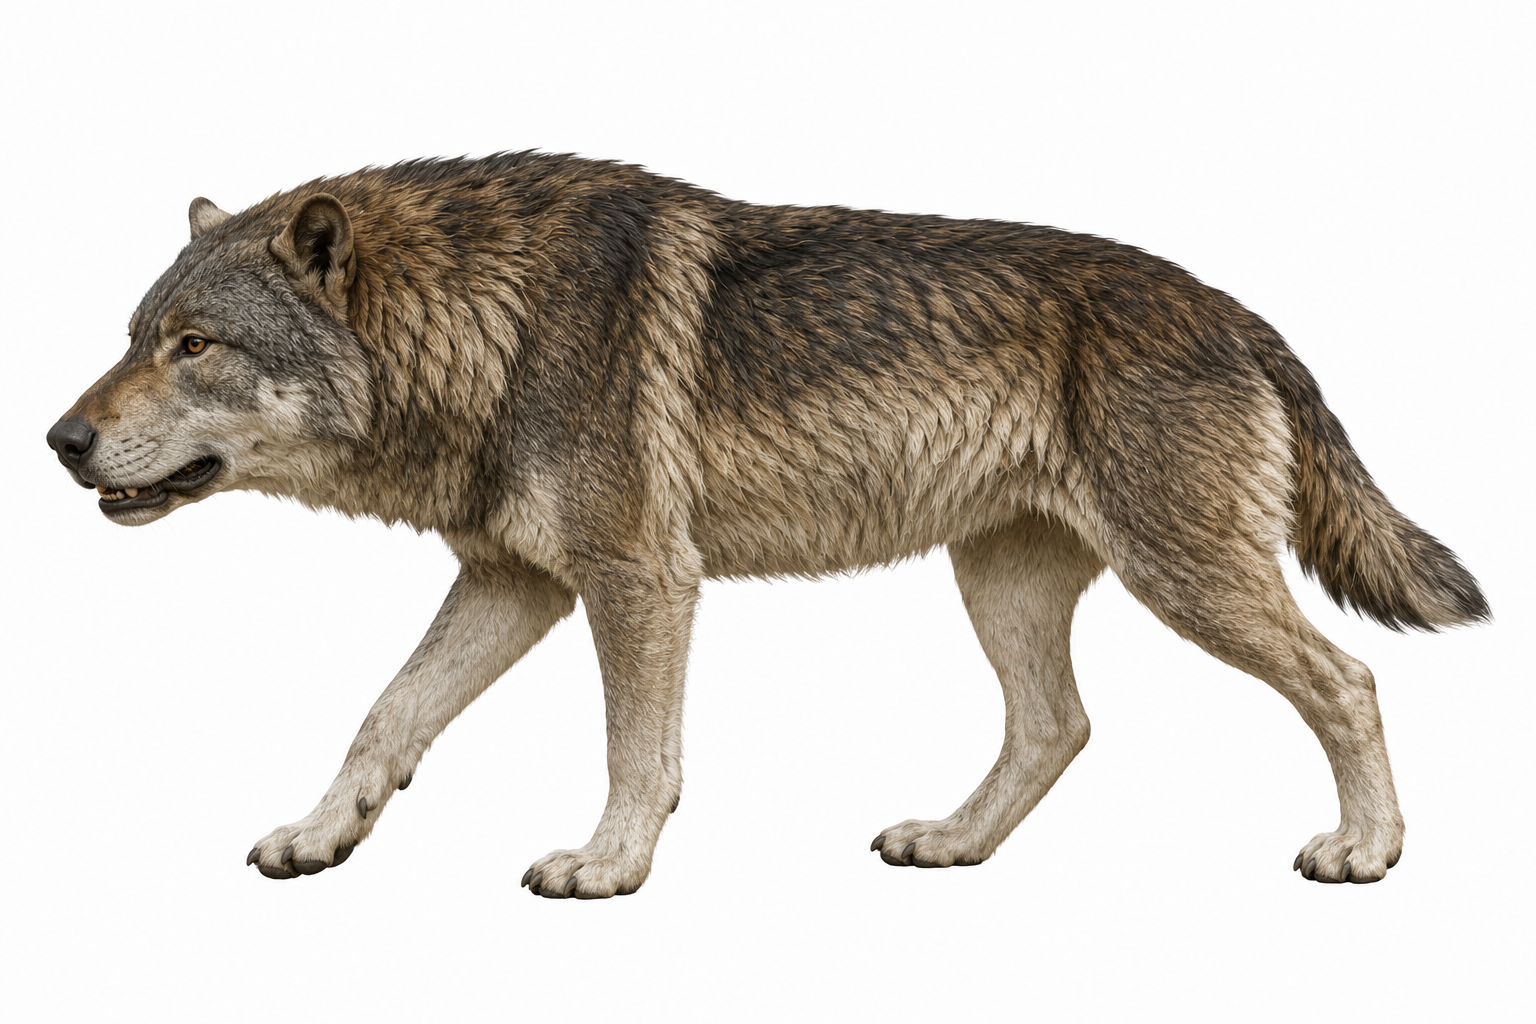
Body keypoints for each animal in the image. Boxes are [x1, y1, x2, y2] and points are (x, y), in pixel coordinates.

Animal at [47, 152, 1487, 895]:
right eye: (133, 337)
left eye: (193, 345)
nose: (58, 441)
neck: (478, 329)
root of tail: (1237, 309)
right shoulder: (518, 583)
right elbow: (386, 716)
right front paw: (318, 836)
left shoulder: (638, 579)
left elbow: (634, 751)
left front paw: (608, 865)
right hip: (1002, 587)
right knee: (1058, 726)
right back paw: (953, 844)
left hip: (1184, 580)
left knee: (1346, 680)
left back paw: (1368, 850)